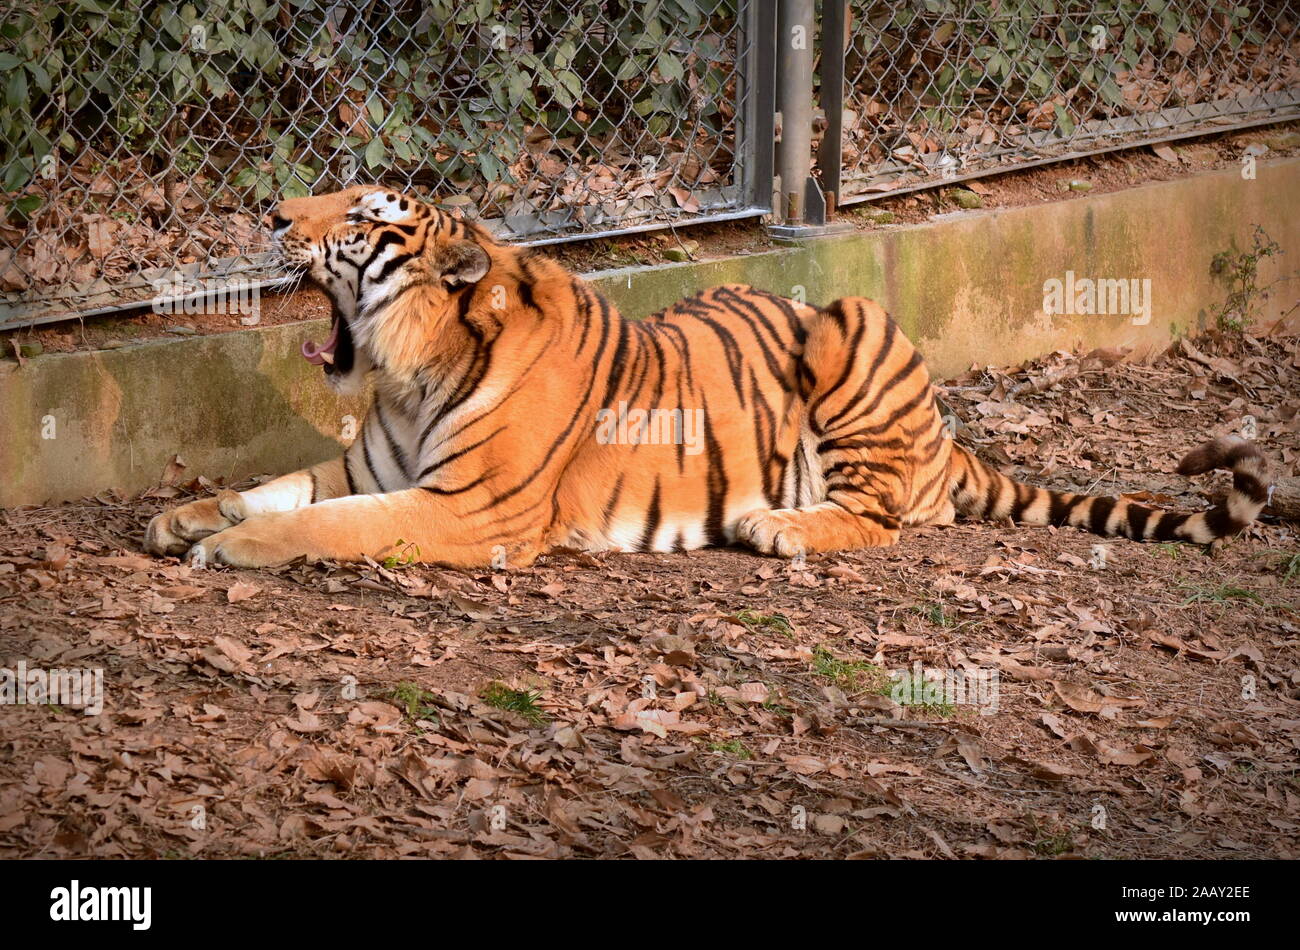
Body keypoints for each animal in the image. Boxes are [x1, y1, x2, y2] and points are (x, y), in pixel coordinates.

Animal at [144, 188, 1268, 569]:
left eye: (362, 216)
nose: (271, 215)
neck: (410, 372)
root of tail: (949, 440)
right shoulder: (371, 465)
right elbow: (284, 485)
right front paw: (185, 515)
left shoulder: (471, 509)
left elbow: (326, 522)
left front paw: (228, 547)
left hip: (853, 325)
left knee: (889, 519)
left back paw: (778, 525)